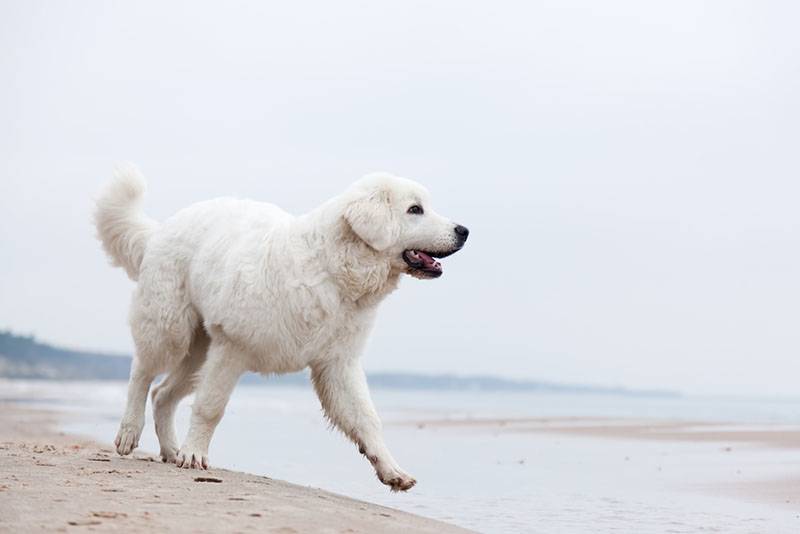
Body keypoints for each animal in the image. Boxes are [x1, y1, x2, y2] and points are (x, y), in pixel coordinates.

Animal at [94, 165, 468, 492]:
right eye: (415, 210)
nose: (464, 231)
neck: (332, 272)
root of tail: (160, 229)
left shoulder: (338, 365)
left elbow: (366, 419)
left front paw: (392, 471)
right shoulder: (232, 348)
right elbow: (210, 408)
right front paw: (196, 453)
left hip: (199, 355)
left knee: (163, 394)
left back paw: (171, 450)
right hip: (170, 332)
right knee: (142, 374)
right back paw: (130, 433)